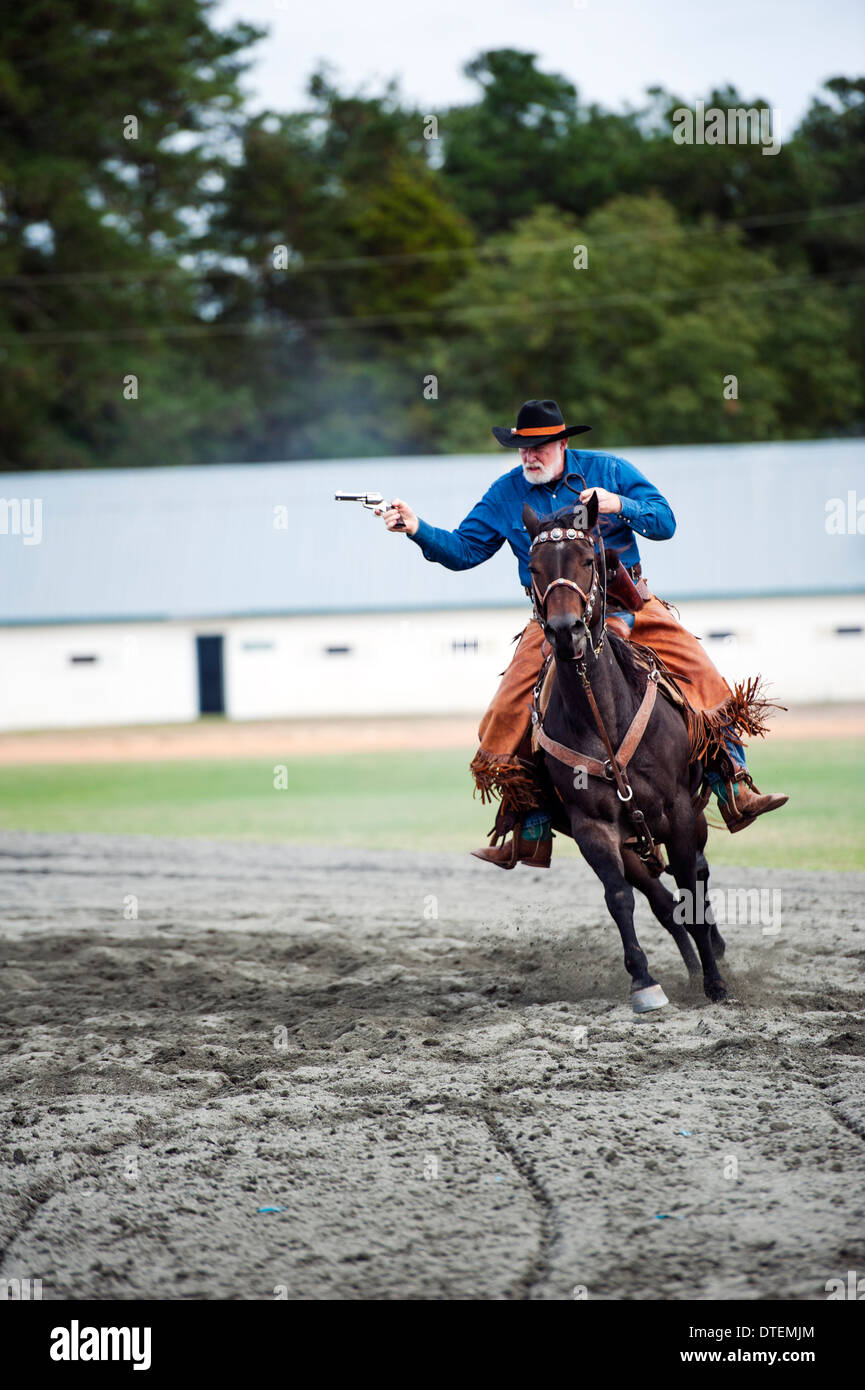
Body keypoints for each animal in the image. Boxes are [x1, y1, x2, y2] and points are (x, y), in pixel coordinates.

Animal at [522, 489, 734, 1011]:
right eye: (533, 566)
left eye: (586, 559)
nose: (565, 631)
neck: (604, 717)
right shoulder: (593, 828)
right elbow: (621, 898)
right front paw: (644, 982)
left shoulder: (679, 811)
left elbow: (690, 887)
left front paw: (716, 985)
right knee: (661, 901)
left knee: (696, 878)